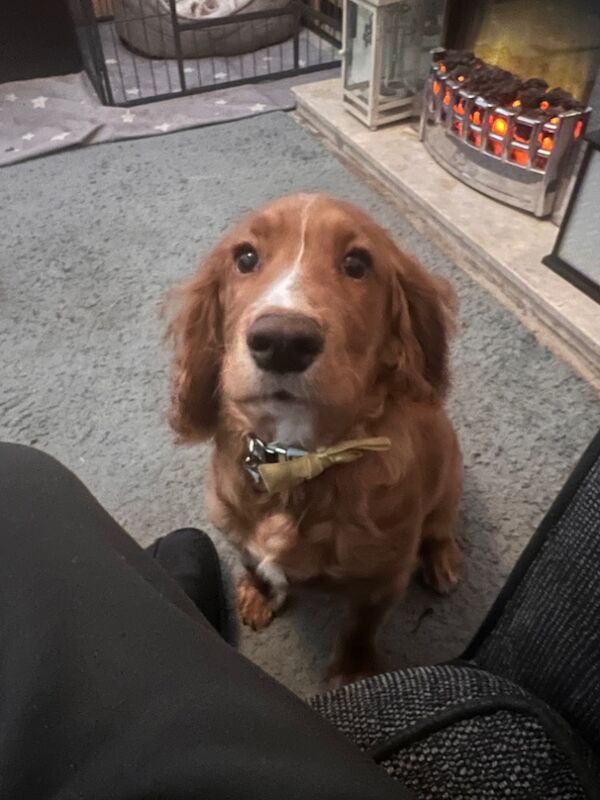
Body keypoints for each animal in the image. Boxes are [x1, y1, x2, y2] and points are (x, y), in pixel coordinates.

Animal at [166, 194, 462, 688]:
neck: (295, 460)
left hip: (449, 480)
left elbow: (360, 628)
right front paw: (259, 595)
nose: (282, 340)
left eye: (357, 263)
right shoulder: (234, 529)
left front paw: (354, 674)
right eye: (246, 258)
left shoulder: (384, 577)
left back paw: (443, 562)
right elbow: (255, 563)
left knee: (441, 527)